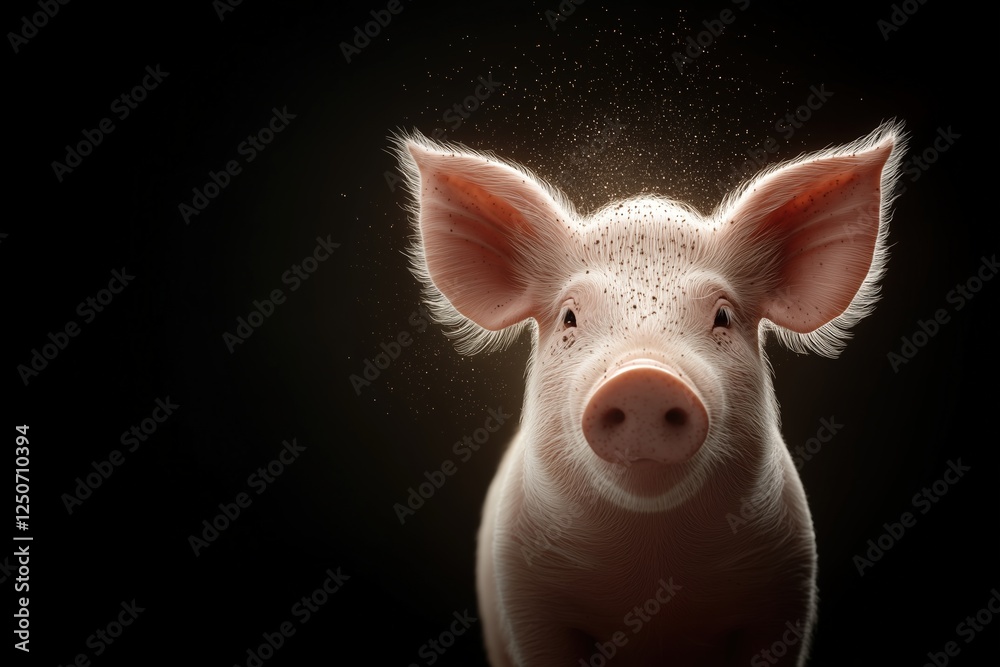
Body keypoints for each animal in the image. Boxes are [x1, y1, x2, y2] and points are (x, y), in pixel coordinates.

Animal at [394, 121, 904, 666]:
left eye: (722, 316)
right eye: (570, 317)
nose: (643, 378)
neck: (652, 561)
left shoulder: (786, 586)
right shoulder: (527, 599)